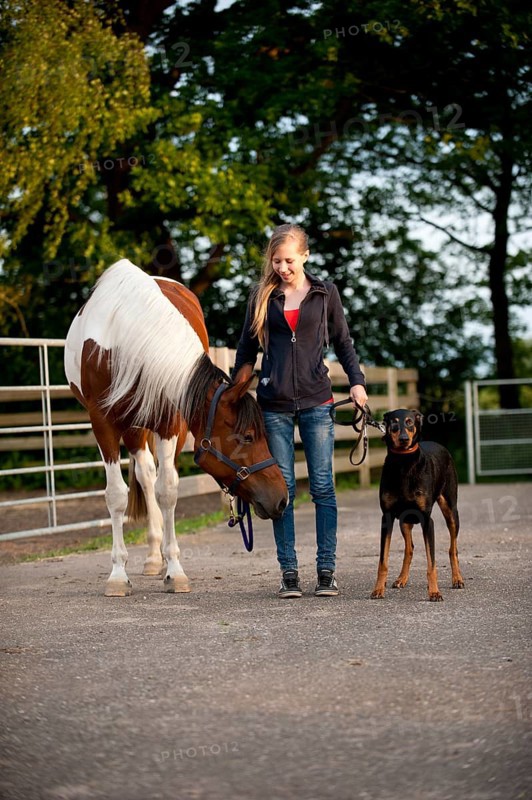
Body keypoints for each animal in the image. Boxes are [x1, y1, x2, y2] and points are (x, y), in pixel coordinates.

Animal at [64, 259, 287, 596]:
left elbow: (167, 490)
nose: (282, 498)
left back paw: (157, 558)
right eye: (248, 437)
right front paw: (118, 575)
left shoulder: (169, 422)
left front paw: (175, 571)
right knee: (145, 475)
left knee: (153, 478)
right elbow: (116, 495)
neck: (123, 340)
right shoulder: (102, 422)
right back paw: (151, 557)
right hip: (132, 428)